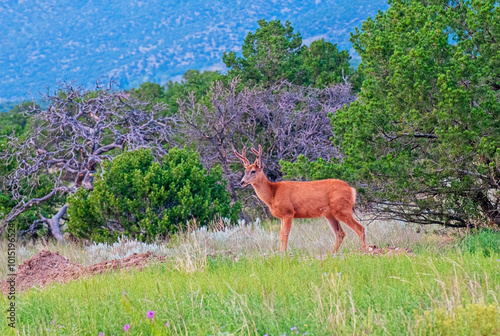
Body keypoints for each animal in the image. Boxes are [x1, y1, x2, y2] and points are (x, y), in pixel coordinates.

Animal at [234, 146, 368, 253]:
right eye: (245, 171)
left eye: (253, 171)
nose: (242, 182)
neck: (272, 194)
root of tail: (351, 189)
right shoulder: (281, 216)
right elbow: (280, 234)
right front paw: (279, 252)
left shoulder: (288, 212)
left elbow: (285, 234)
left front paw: (284, 253)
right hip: (330, 213)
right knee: (340, 233)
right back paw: (332, 253)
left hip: (342, 209)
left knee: (360, 228)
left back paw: (364, 251)